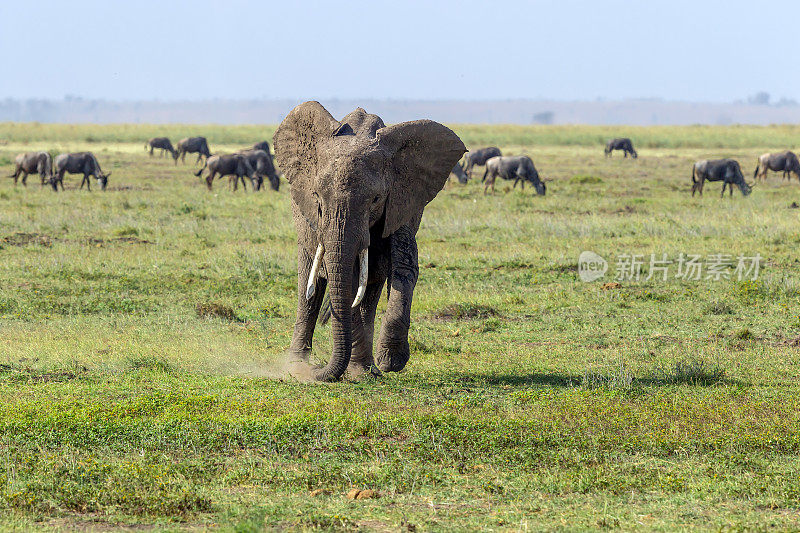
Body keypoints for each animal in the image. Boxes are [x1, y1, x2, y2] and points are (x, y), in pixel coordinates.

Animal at [274, 101, 466, 382]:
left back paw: (366, 369)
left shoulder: (402, 199)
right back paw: (297, 365)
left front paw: (389, 362)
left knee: (370, 289)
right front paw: (365, 370)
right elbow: (350, 279)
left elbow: (405, 267)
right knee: (310, 286)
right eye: (317, 197)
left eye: (376, 199)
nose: (319, 370)